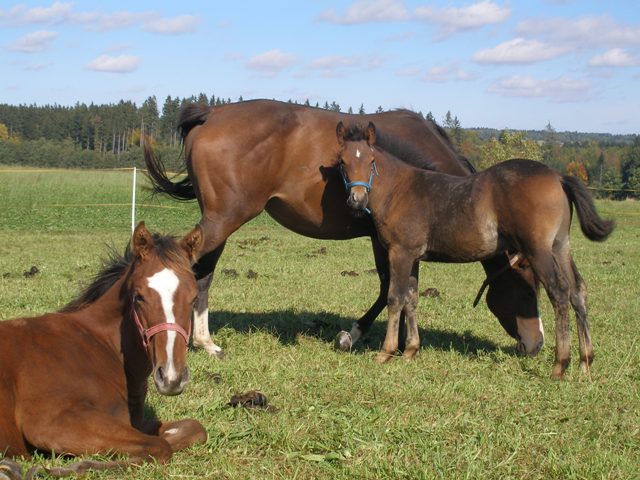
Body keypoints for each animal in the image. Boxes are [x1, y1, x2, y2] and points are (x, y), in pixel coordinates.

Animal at [0, 222, 205, 476]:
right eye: (138, 297)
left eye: (194, 298)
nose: (171, 378)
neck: (97, 345)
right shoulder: (50, 423)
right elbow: (159, 446)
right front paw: (46, 470)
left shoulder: (133, 423)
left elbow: (193, 429)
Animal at [144, 98, 544, 356]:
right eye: (528, 291)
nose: (537, 345)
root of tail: (211, 114)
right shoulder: (387, 243)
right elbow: (390, 290)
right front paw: (355, 337)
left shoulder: (404, 244)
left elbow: (403, 290)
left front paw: (399, 341)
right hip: (223, 220)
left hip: (220, 222)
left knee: (202, 275)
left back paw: (203, 341)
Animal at [336, 122, 616, 376]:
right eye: (342, 162)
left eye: (371, 160)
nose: (356, 200)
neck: (400, 190)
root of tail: (558, 177)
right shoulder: (413, 256)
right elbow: (411, 299)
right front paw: (410, 351)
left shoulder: (400, 252)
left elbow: (395, 298)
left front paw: (386, 352)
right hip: (560, 246)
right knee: (578, 290)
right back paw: (585, 361)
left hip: (539, 250)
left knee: (559, 291)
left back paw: (560, 365)